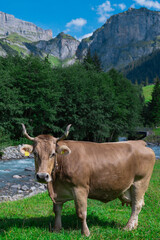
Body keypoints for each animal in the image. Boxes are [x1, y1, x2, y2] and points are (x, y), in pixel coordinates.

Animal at [19, 124, 155, 236]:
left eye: (53, 154)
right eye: (35, 153)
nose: (42, 176)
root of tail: (140, 142)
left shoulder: (80, 188)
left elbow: (81, 212)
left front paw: (85, 233)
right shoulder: (59, 192)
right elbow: (57, 210)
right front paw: (57, 229)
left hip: (140, 182)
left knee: (137, 205)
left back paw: (127, 227)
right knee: (136, 204)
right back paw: (134, 226)